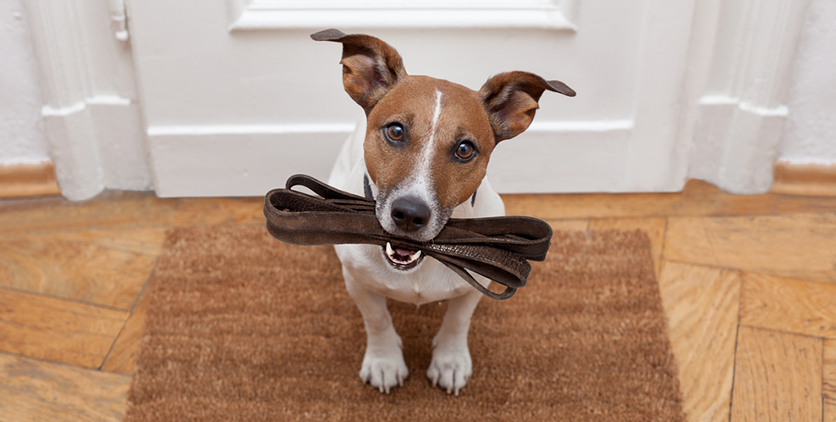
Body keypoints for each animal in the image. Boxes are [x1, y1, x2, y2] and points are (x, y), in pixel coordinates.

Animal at [314, 29, 576, 396]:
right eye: (396, 131)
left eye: (465, 149)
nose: (410, 214)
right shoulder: (357, 282)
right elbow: (376, 319)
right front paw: (384, 361)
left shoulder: (476, 284)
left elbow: (457, 321)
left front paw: (449, 361)